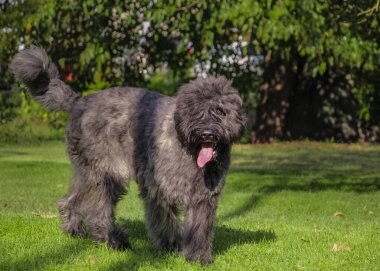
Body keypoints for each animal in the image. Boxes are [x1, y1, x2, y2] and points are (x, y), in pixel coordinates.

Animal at [11, 47, 246, 266]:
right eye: (196, 111)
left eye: (221, 111)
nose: (207, 133)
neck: (186, 148)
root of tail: (78, 102)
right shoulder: (157, 191)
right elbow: (166, 221)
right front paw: (171, 245)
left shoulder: (203, 197)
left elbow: (199, 228)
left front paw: (197, 257)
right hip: (107, 173)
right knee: (97, 209)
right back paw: (114, 240)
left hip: (87, 172)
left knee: (72, 200)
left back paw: (74, 230)